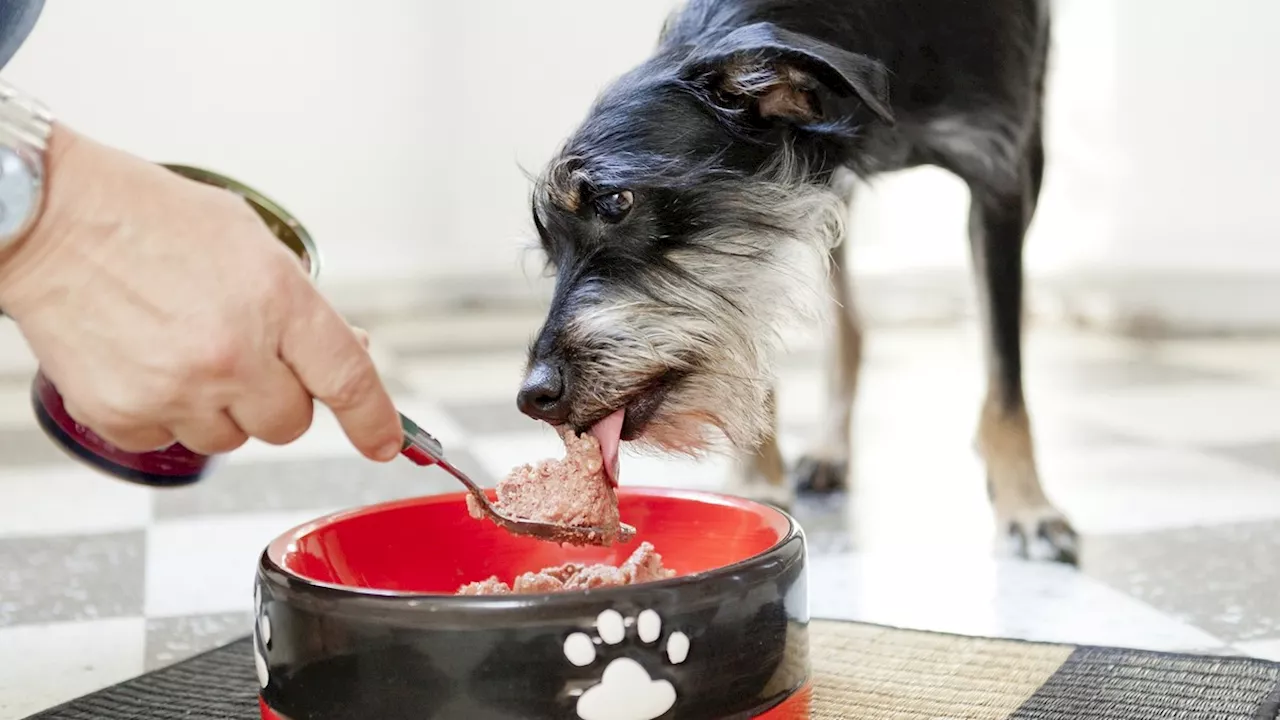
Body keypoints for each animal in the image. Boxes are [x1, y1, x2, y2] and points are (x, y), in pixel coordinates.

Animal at [514, 0, 1075, 561]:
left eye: (615, 201)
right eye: (550, 255)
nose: (533, 397)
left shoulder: (1003, 172)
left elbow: (1006, 377)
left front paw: (1027, 506)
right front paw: (755, 480)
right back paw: (828, 449)